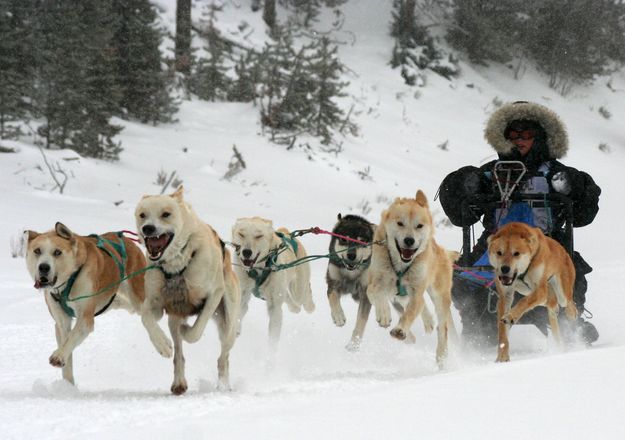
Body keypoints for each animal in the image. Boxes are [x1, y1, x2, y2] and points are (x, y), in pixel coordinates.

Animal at [25, 223, 146, 384]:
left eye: (57, 252)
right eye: (37, 251)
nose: (43, 267)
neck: (68, 281)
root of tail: (127, 240)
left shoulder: (85, 318)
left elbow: (72, 337)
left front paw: (58, 356)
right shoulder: (61, 322)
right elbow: (67, 345)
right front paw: (68, 385)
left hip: (138, 295)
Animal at [135, 187, 240, 394]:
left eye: (166, 214)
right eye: (142, 215)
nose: (147, 229)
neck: (177, 267)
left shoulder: (213, 295)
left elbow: (195, 332)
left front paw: (187, 330)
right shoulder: (156, 304)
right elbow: (145, 317)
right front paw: (162, 345)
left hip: (229, 323)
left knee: (223, 358)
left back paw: (223, 385)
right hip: (173, 318)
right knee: (179, 356)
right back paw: (179, 382)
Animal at [232, 217, 314, 350]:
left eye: (259, 236)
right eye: (241, 234)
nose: (246, 252)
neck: (259, 269)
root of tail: (288, 234)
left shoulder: (275, 308)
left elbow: (273, 339)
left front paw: (271, 354)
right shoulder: (243, 294)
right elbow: (239, 312)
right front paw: (236, 331)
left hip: (299, 290)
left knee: (305, 295)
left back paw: (309, 306)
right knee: (289, 299)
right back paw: (294, 307)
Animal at [368, 191, 456, 366]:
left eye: (419, 226)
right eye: (400, 223)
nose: (409, 240)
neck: (400, 268)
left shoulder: (416, 292)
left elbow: (409, 313)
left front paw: (400, 330)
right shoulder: (376, 283)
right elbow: (376, 294)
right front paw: (384, 314)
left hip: (439, 296)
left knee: (442, 327)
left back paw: (441, 354)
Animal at [488, 222, 576, 362]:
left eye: (516, 253)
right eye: (499, 253)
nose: (505, 269)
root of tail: (564, 251)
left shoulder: (540, 290)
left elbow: (524, 302)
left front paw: (511, 316)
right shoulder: (504, 296)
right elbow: (502, 331)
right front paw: (502, 356)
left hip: (562, 293)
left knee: (570, 305)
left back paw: (571, 315)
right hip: (539, 294)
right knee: (552, 305)